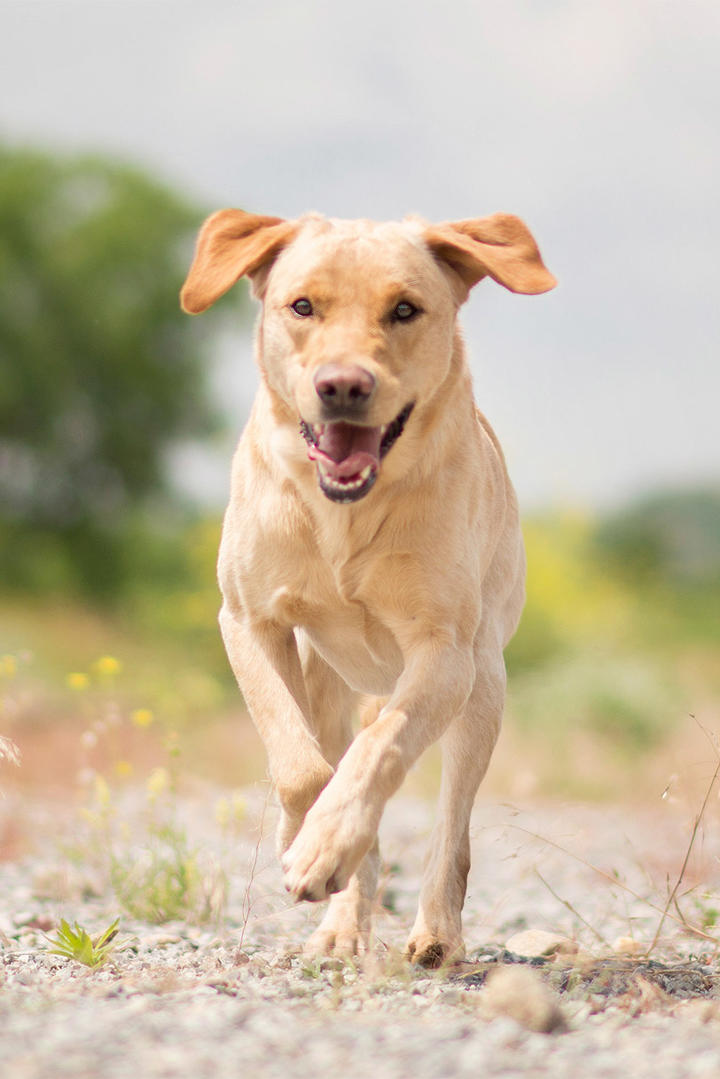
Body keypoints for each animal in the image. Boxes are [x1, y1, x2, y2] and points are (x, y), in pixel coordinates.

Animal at [181, 206, 557, 966]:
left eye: (404, 309)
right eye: (302, 305)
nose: (343, 386)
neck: (344, 515)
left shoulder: (444, 652)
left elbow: (382, 748)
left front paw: (324, 843)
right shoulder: (248, 620)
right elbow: (299, 763)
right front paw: (308, 843)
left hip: (484, 689)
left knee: (448, 826)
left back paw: (435, 931)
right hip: (328, 680)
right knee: (333, 751)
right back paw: (341, 922)